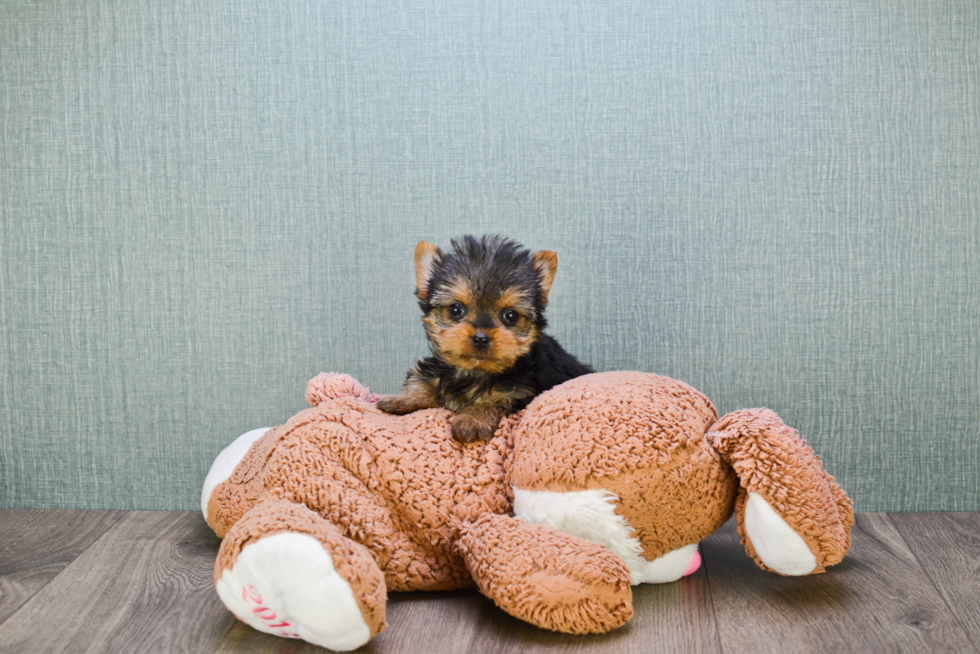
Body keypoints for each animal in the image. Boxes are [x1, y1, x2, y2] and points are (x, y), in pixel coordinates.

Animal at [376, 233, 592, 444]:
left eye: (511, 315)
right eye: (456, 309)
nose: (481, 338)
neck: (474, 372)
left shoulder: (517, 392)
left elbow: (493, 399)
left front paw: (472, 419)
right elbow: (422, 378)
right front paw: (402, 399)